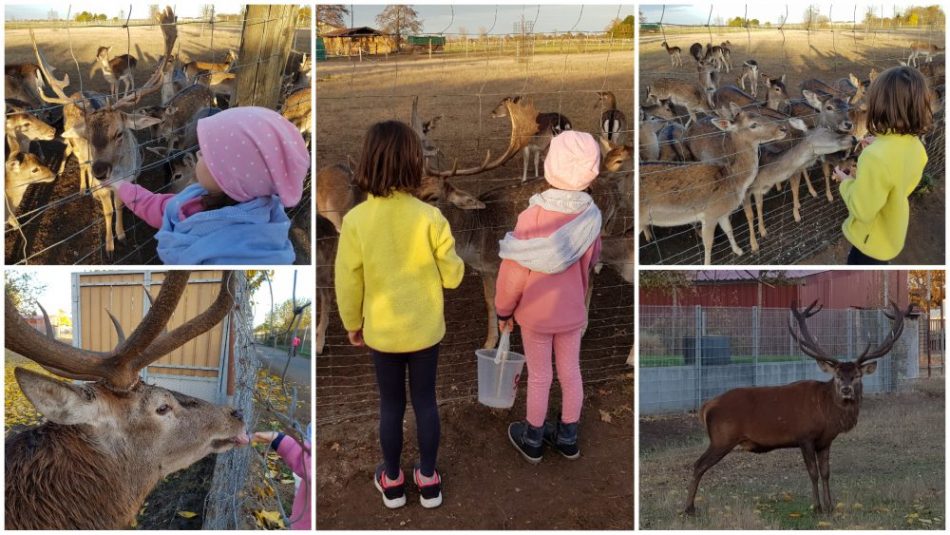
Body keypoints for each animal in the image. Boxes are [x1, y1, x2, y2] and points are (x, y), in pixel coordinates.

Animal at [30, 6, 177, 258]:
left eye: (119, 134)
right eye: (87, 136)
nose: (99, 172)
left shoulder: (127, 180)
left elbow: (119, 206)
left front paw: (122, 236)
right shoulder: (101, 184)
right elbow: (107, 210)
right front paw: (109, 246)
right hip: (78, 153)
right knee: (79, 164)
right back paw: (83, 188)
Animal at [640, 103, 788, 266]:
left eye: (761, 115)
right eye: (753, 125)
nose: (783, 128)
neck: (732, 180)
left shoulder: (722, 212)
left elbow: (729, 229)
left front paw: (739, 250)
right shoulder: (710, 213)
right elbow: (708, 243)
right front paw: (707, 264)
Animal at [684, 302, 916, 516]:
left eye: (857, 375)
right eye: (838, 375)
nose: (846, 389)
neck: (828, 415)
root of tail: (706, 407)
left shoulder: (825, 441)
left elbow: (826, 472)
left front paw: (830, 506)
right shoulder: (805, 436)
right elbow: (812, 472)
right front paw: (817, 507)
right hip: (722, 438)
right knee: (698, 465)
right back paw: (688, 508)